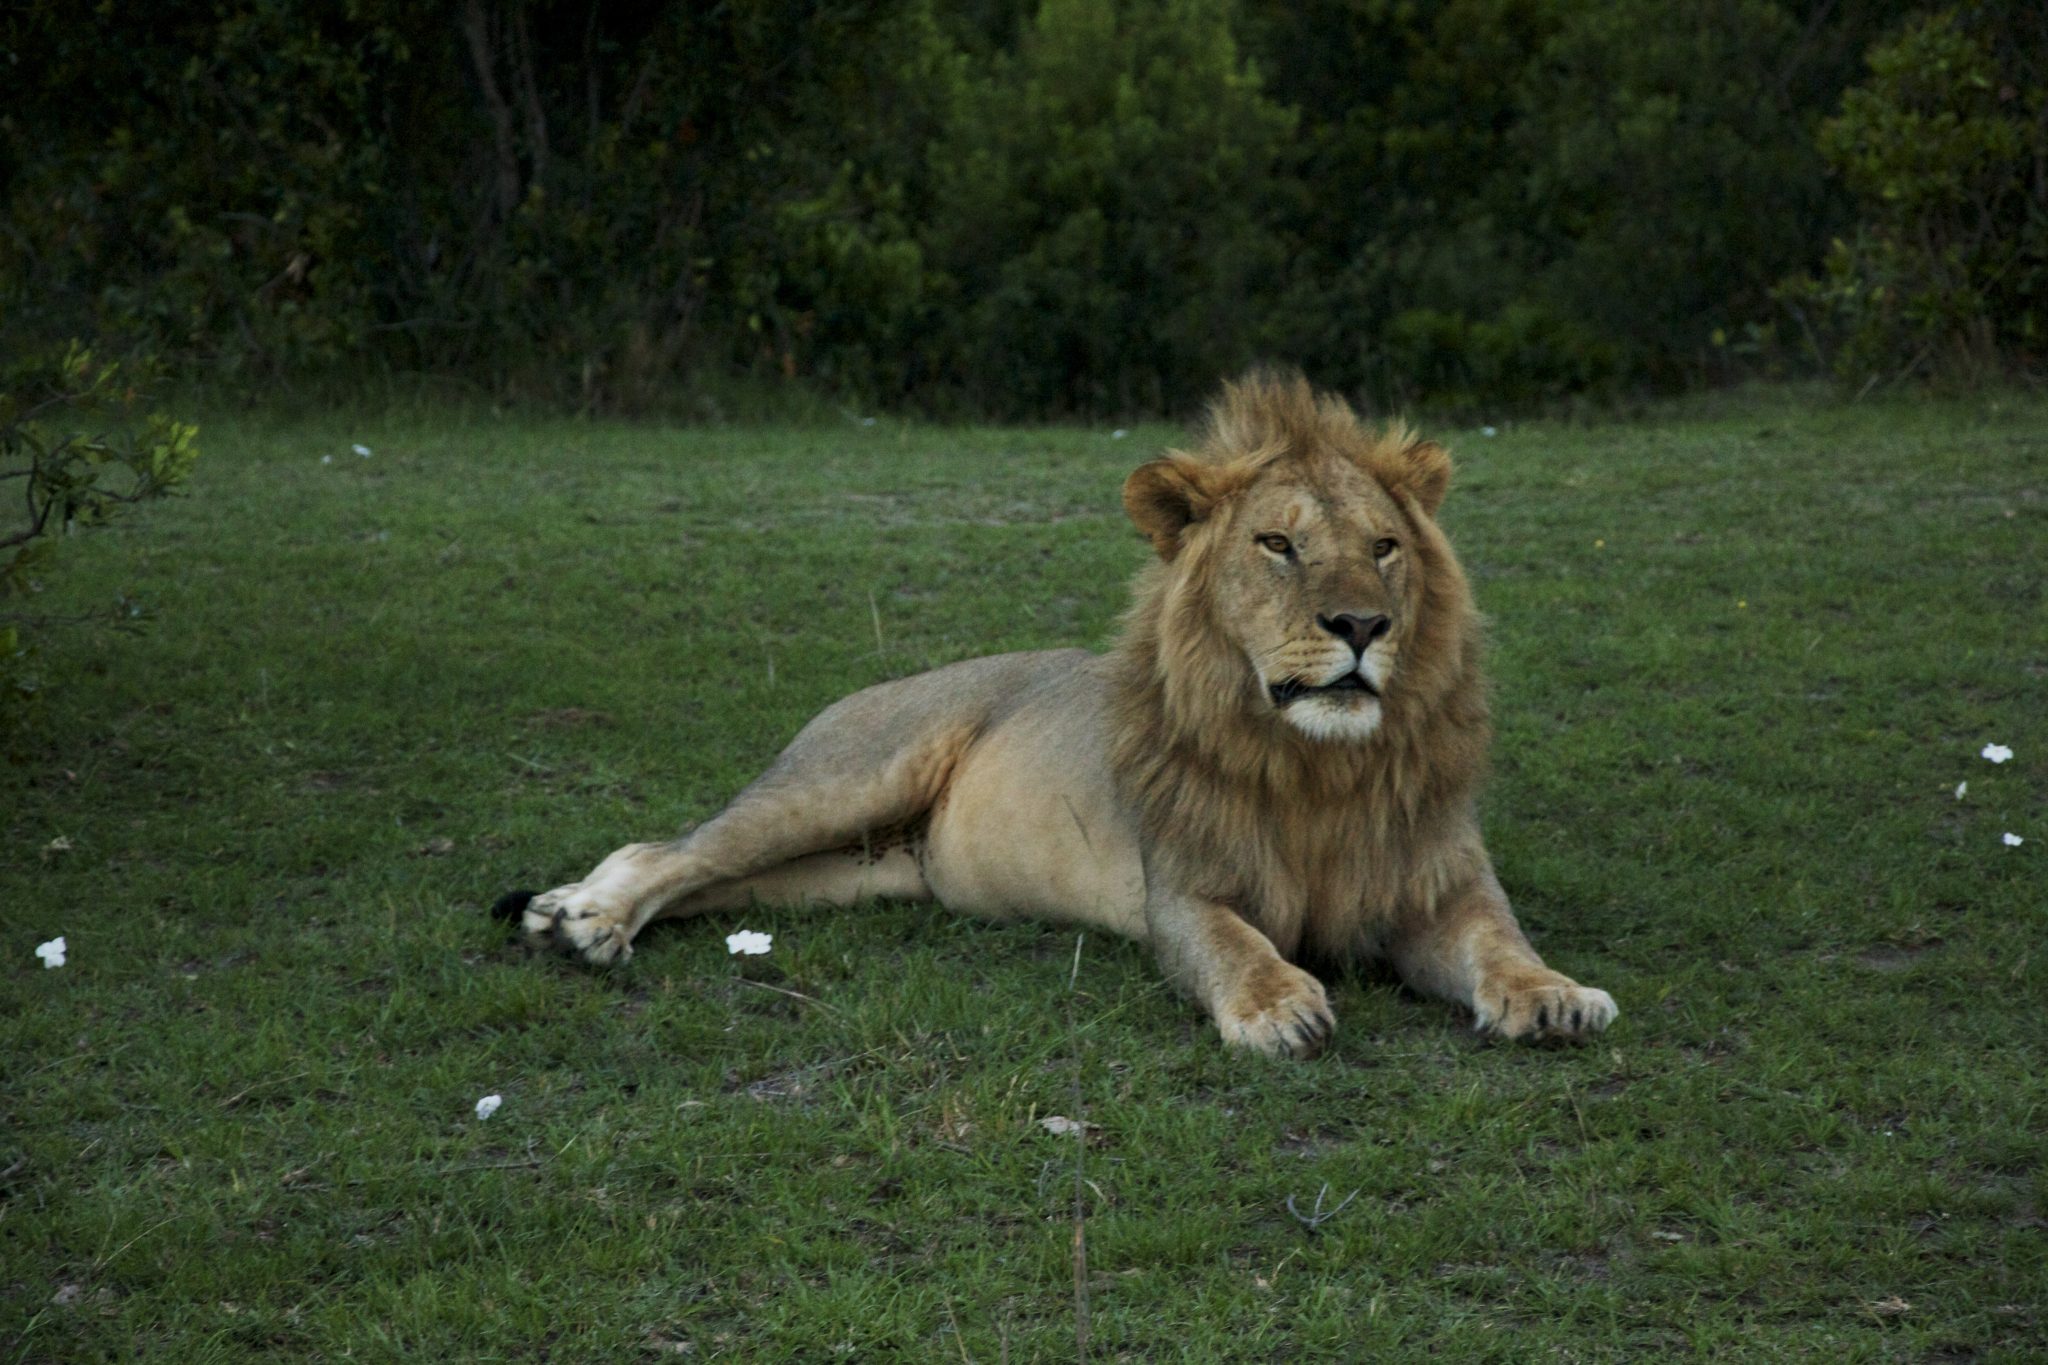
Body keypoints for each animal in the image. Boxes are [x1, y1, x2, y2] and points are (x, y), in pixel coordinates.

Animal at [495, 370, 1613, 1055]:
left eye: (1383, 547)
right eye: (1277, 545)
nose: (1360, 625)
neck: (1321, 769)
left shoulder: (1439, 880)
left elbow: (1498, 938)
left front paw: (1552, 993)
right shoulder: (1183, 888)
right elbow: (1233, 945)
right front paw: (1277, 1007)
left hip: (846, 871)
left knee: (701, 878)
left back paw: (565, 914)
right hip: (840, 780)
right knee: (668, 848)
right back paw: (588, 922)